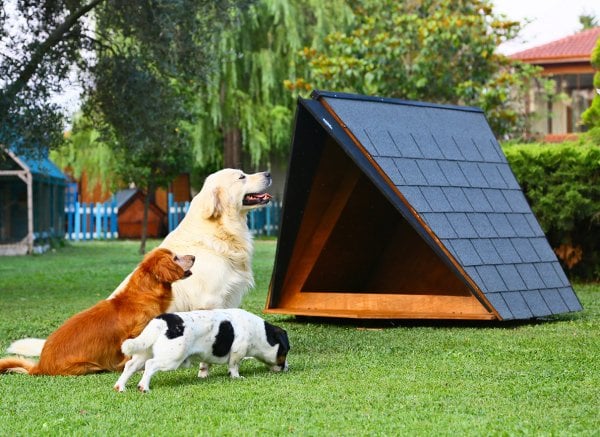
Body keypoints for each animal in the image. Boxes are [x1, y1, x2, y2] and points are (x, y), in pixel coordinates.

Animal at [0, 247, 193, 372]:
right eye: (175, 258)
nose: (194, 257)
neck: (142, 295)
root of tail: (40, 366)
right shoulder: (136, 333)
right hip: (87, 365)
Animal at [115, 306, 290, 392]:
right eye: (285, 351)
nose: (287, 368)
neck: (259, 332)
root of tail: (163, 321)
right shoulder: (237, 353)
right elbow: (234, 367)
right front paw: (236, 377)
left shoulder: (207, 354)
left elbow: (205, 365)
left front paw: (203, 376)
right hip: (172, 359)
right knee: (150, 365)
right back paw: (143, 387)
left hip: (144, 352)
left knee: (130, 366)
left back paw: (120, 387)